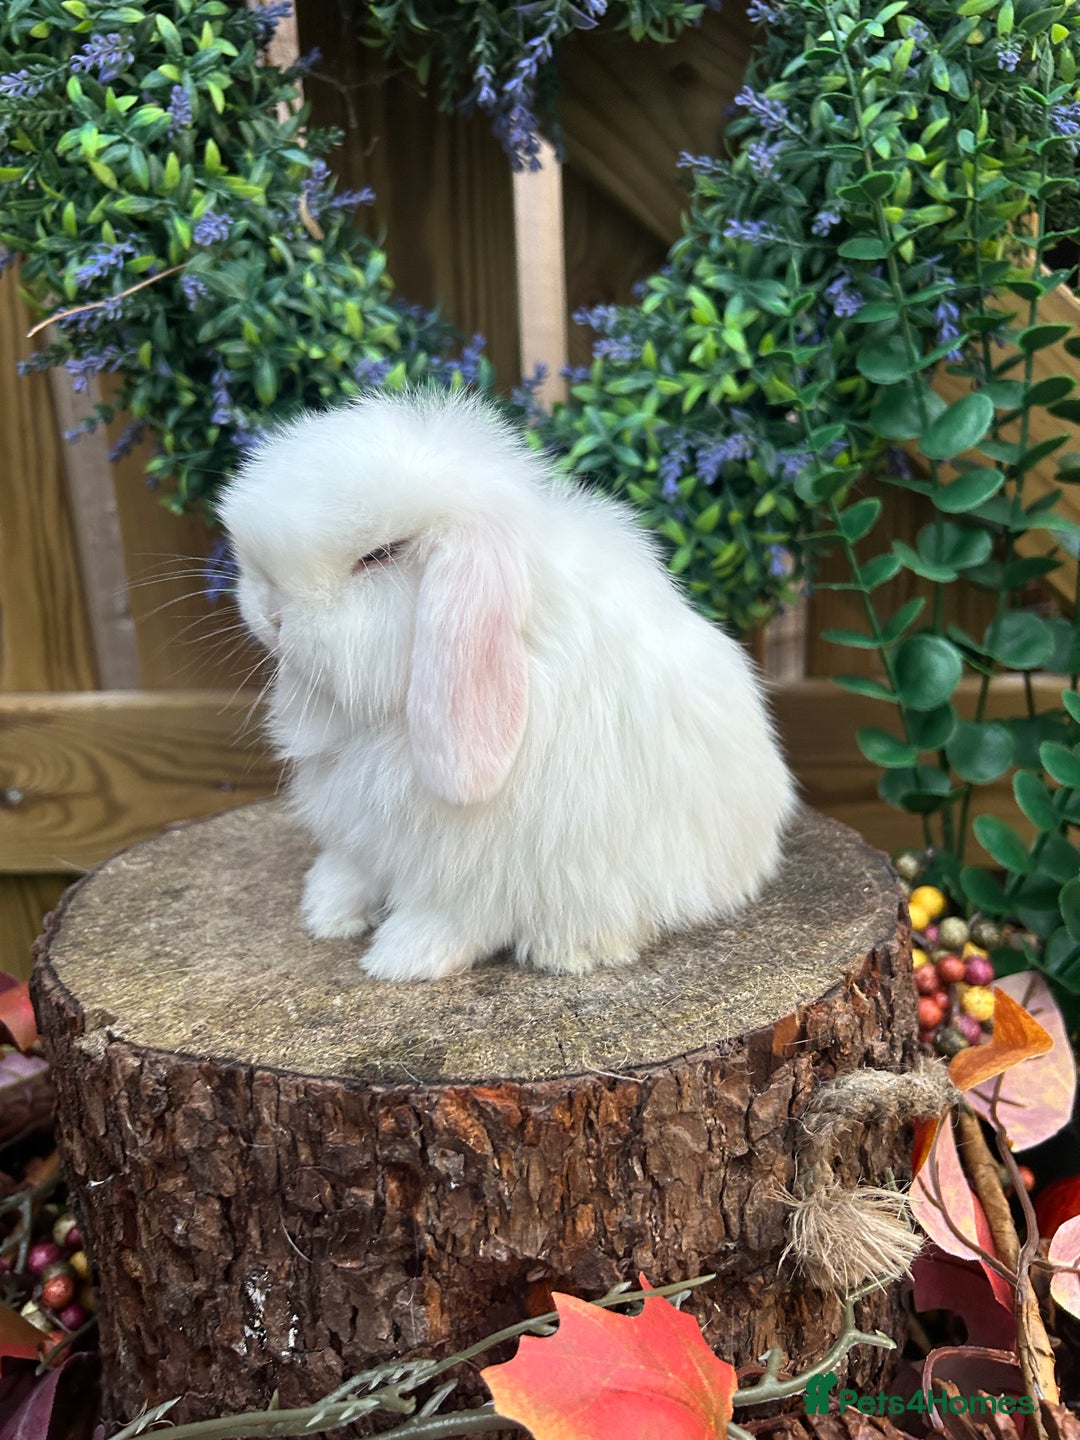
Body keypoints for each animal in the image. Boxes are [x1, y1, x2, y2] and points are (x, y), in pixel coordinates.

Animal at [218, 388, 797, 983]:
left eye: (380, 555)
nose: (270, 612)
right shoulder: (365, 836)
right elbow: (353, 870)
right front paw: (326, 913)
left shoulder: (482, 867)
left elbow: (452, 915)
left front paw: (399, 958)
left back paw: (569, 952)